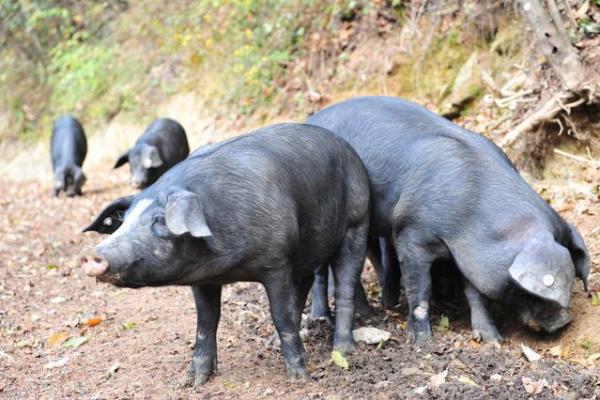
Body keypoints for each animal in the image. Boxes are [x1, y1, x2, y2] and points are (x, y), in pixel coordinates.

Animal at [82, 122, 368, 384]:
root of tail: (350, 151)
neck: (229, 266)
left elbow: (281, 316)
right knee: (305, 282)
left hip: (356, 223)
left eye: (160, 220)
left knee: (345, 284)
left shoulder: (276, 261)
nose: (94, 255)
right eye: (124, 220)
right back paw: (274, 345)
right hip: (307, 250)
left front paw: (300, 378)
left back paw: (343, 350)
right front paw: (192, 381)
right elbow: (206, 323)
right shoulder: (203, 278)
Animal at [308, 97, 588, 344]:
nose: (564, 321)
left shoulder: (468, 255)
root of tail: (311, 118)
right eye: (527, 289)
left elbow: (475, 293)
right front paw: (422, 342)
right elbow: (419, 289)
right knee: (324, 271)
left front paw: (492, 339)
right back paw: (332, 317)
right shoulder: (410, 232)